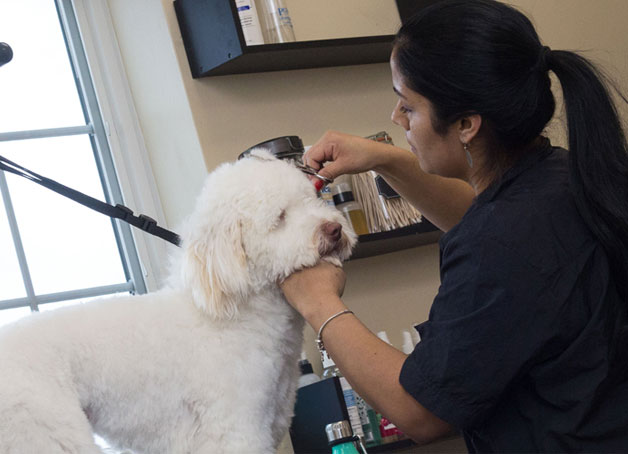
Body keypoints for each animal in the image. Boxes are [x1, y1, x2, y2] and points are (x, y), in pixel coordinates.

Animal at [0, 151, 356, 454]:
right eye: (280, 217)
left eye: (311, 199)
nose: (334, 229)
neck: (241, 317)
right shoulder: (235, 429)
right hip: (43, 430)